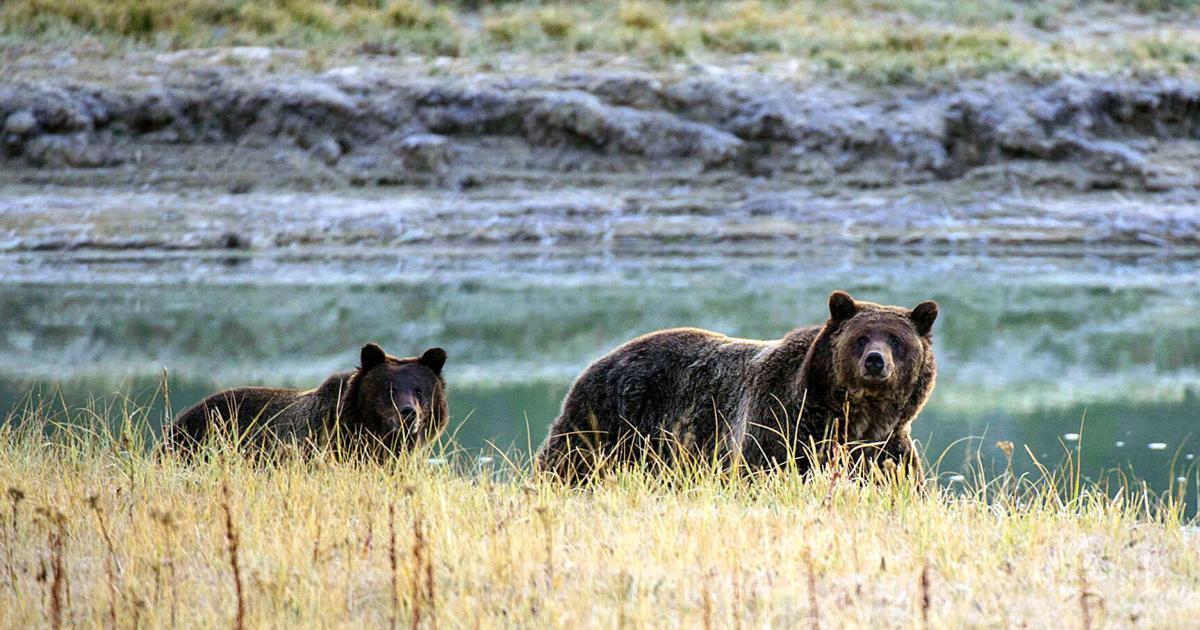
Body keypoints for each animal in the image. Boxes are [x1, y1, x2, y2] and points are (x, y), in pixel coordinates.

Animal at [535, 291, 938, 483]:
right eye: (861, 337)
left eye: (896, 339)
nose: (875, 361)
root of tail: (600, 359)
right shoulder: (780, 427)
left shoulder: (884, 448)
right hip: (608, 421)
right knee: (567, 464)